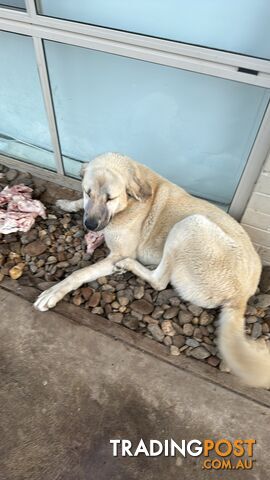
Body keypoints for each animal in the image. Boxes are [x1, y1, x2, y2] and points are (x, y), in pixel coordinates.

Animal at [35, 152, 270, 388]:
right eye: (87, 192)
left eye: (110, 198)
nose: (90, 225)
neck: (131, 202)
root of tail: (241, 297)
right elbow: (79, 205)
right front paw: (68, 203)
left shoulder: (117, 253)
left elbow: (79, 273)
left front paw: (53, 292)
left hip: (190, 224)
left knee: (160, 281)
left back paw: (128, 266)